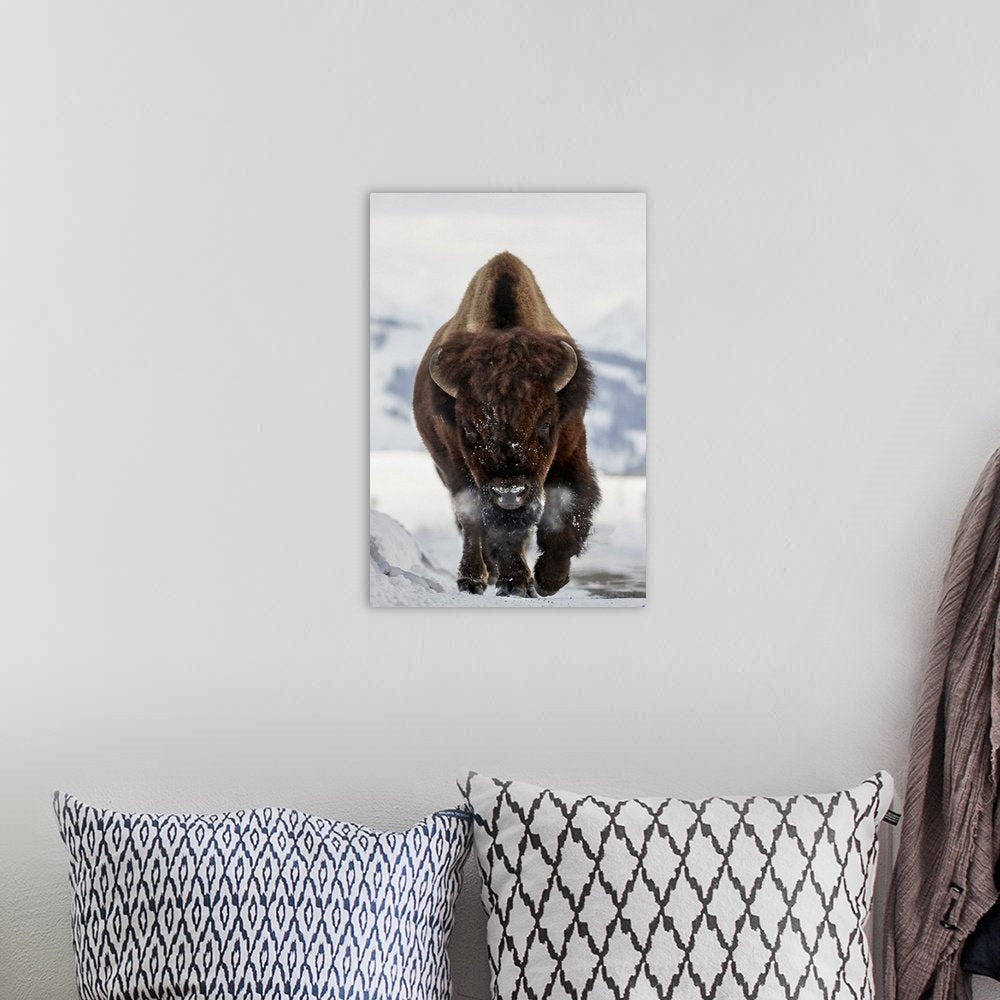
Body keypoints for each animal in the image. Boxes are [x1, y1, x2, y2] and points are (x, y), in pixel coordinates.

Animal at [412, 252, 600, 597]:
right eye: (469, 429)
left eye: (546, 423)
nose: (509, 492)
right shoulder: (460, 466)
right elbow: (491, 525)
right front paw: (515, 583)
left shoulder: (570, 446)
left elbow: (567, 505)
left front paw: (549, 580)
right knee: (471, 523)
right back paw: (474, 579)